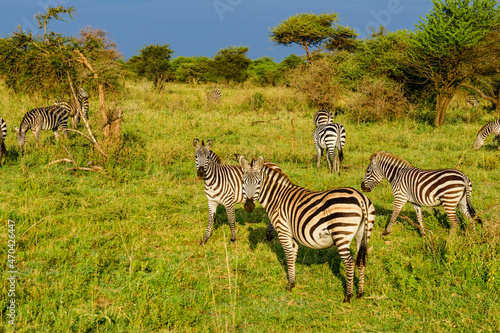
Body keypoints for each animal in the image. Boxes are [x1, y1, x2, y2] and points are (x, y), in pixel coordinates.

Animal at [239, 154, 376, 302]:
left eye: (258, 182)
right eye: (243, 181)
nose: (249, 207)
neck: (277, 198)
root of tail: (360, 197)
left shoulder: (283, 231)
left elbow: (288, 256)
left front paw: (289, 285)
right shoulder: (292, 234)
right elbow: (293, 255)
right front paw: (292, 282)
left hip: (341, 233)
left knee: (350, 263)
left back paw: (348, 296)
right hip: (363, 233)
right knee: (362, 260)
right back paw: (360, 293)